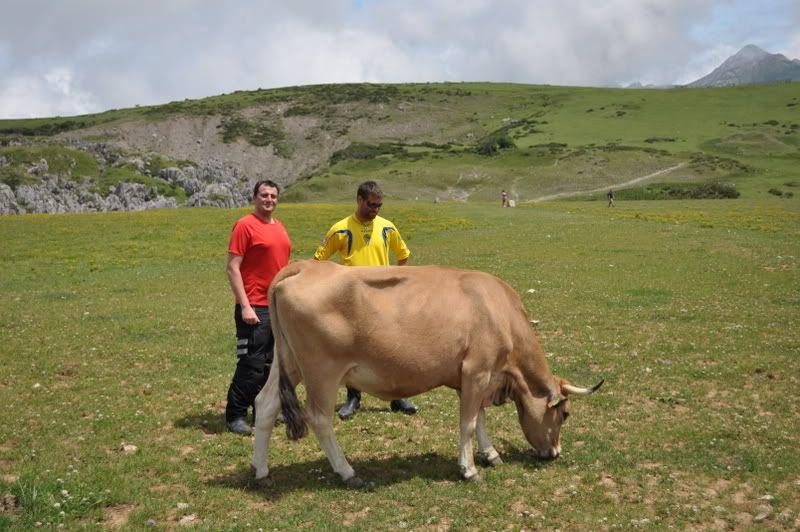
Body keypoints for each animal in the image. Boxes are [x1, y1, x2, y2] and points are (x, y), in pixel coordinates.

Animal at [250, 260, 600, 488]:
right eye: (565, 414)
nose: (555, 453)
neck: (498, 308)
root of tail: (306, 266)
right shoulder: (477, 370)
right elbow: (468, 422)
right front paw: (469, 469)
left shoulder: (477, 377)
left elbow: (480, 417)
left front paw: (490, 454)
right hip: (322, 370)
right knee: (319, 417)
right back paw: (348, 473)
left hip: (288, 362)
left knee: (265, 404)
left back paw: (261, 472)